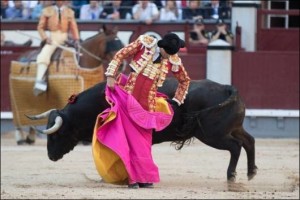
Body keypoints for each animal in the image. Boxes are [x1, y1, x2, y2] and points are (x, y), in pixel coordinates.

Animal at [27, 78, 258, 181]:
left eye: (57, 134)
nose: (50, 156)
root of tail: (228, 88)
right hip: (233, 128)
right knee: (249, 141)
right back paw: (251, 172)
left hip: (212, 135)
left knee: (236, 146)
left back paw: (231, 175)